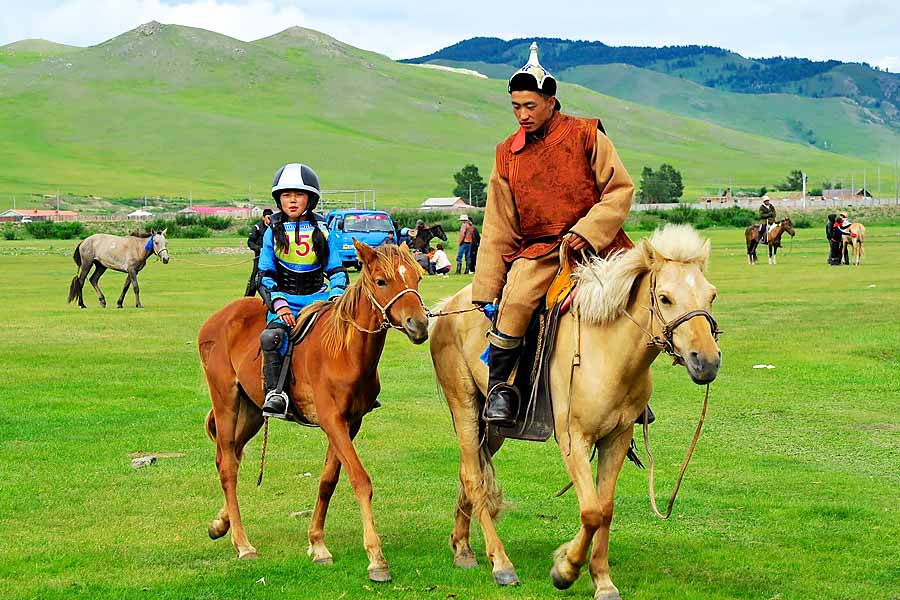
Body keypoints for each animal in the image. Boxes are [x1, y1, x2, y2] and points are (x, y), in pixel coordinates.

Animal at [198, 240, 428, 583]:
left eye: (417, 278)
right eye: (381, 281)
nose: (419, 325)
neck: (345, 351)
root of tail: (214, 321)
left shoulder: (349, 424)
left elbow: (327, 481)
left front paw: (317, 544)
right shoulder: (333, 421)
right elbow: (360, 480)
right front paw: (376, 558)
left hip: (251, 411)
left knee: (231, 456)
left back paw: (220, 524)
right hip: (226, 401)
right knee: (227, 465)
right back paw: (243, 544)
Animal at [429, 225, 721, 598]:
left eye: (711, 296)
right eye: (665, 297)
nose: (707, 361)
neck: (608, 350)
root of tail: (447, 308)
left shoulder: (617, 438)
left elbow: (606, 509)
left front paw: (602, 580)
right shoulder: (574, 441)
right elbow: (592, 511)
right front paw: (565, 569)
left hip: (492, 426)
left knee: (471, 470)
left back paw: (463, 547)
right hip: (464, 405)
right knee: (473, 477)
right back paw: (501, 564)